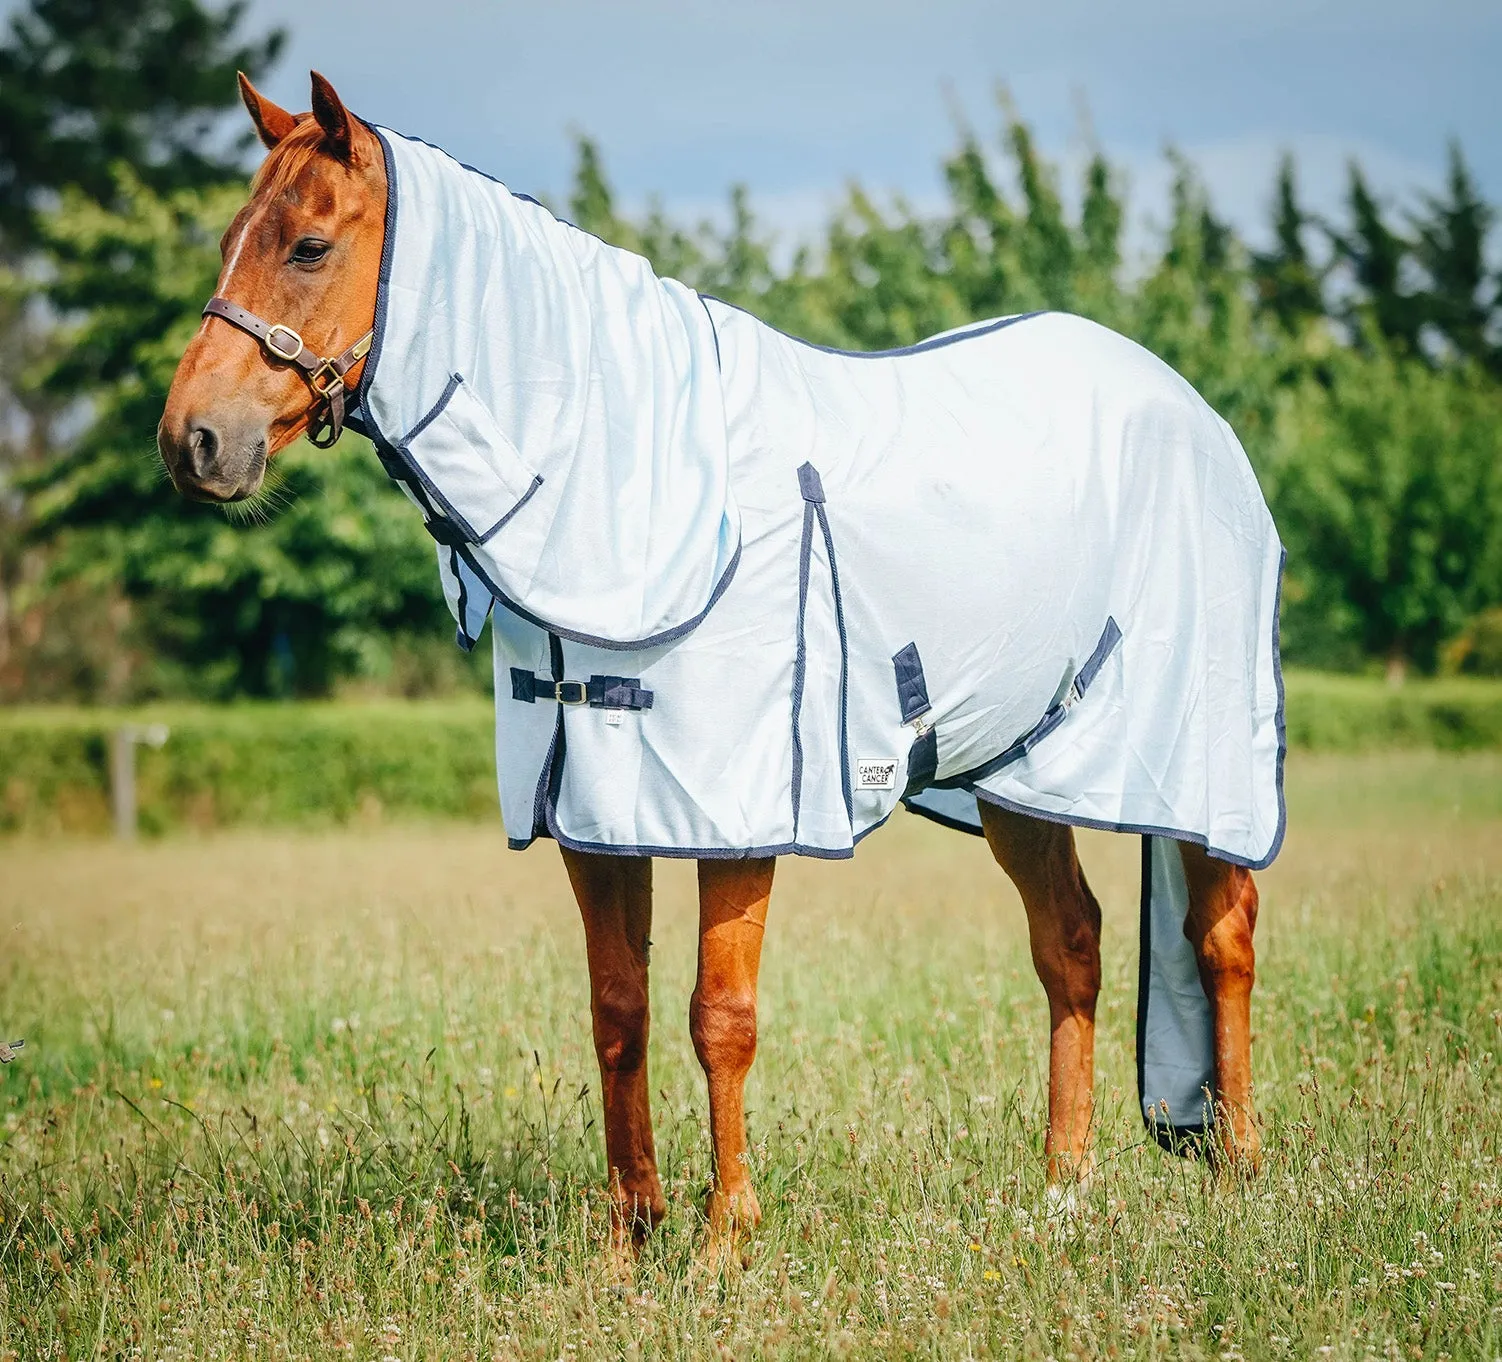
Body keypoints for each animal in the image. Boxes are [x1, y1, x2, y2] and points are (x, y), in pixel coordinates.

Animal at [161, 72, 1267, 1243]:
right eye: (230, 239)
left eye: (310, 246)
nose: (192, 442)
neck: (623, 476)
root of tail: (1192, 410)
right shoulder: (595, 816)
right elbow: (618, 1010)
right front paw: (629, 1236)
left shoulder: (735, 811)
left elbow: (718, 1016)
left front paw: (723, 1238)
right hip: (1017, 772)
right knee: (1072, 942)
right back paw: (1062, 1185)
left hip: (1197, 769)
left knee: (1220, 935)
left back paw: (1238, 1166)